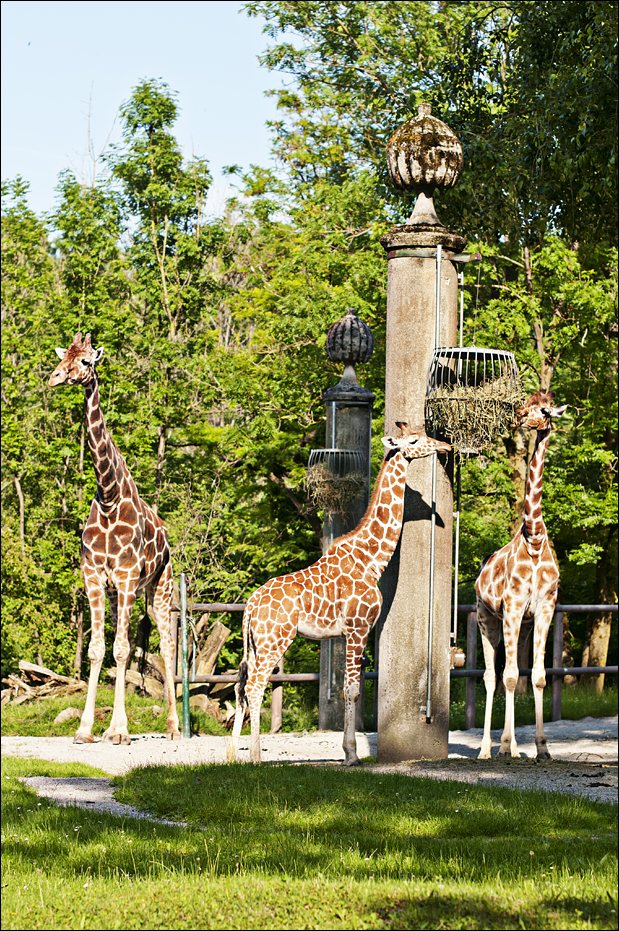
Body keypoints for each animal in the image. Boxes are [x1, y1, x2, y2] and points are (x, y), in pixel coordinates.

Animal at [49, 333, 180, 744]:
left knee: (167, 647)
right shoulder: (93, 578)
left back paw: (173, 728)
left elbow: (122, 651)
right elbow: (97, 650)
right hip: (128, 594)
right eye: (64, 356)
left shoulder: (124, 578)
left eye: (87, 361)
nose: (55, 377)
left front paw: (118, 730)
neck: (108, 496)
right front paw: (86, 728)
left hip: (160, 590)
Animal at [227, 424, 451, 765]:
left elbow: (351, 687)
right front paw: (351, 755)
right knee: (255, 686)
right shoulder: (358, 628)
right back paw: (255, 756)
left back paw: (230, 754)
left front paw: (348, 752)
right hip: (274, 640)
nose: (445, 446)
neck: (371, 560)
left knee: (240, 686)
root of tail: (250, 605)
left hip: (253, 644)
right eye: (415, 440)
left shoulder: (349, 632)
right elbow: (352, 690)